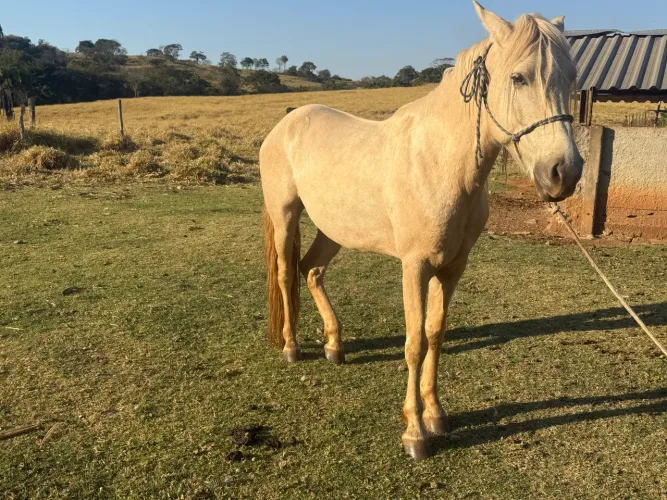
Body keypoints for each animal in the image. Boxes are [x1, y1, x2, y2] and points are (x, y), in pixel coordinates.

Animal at [259, 1, 583, 460]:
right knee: (287, 273)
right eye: (518, 77)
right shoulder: (414, 266)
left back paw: (334, 345)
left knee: (312, 271)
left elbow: (435, 335)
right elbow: (413, 343)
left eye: (571, 78)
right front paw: (414, 432)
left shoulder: (451, 268)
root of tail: (286, 123)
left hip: (333, 229)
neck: (441, 163)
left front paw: (436, 415)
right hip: (286, 215)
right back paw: (292, 346)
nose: (564, 173)